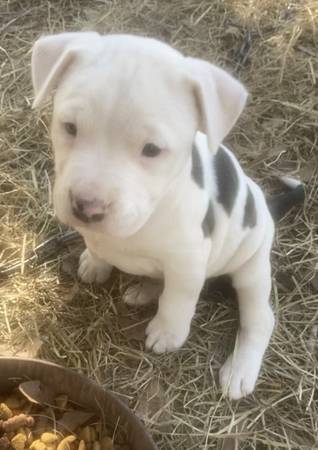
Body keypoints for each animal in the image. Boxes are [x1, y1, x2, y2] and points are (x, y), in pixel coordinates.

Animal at [31, 31, 304, 400]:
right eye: (70, 127)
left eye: (152, 149)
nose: (87, 206)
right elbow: (99, 248)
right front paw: (95, 261)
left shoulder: (188, 259)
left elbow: (178, 297)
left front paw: (168, 332)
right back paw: (144, 289)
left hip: (251, 267)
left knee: (260, 318)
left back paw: (240, 369)